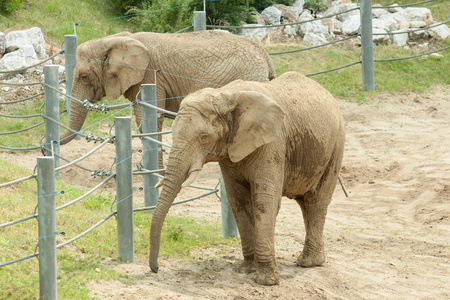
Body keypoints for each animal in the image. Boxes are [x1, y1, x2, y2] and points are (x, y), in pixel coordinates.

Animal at [59, 30, 278, 146]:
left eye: (84, 77)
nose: (49, 145)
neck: (115, 39)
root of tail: (266, 57)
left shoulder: (150, 76)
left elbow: (148, 122)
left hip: (249, 80)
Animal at [149, 71, 346, 284]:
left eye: (204, 138)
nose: (155, 269)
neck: (225, 95)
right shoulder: (230, 153)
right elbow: (238, 200)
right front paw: (247, 270)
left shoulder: (273, 143)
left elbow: (264, 201)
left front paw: (267, 281)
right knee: (305, 203)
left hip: (336, 145)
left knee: (316, 201)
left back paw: (309, 263)